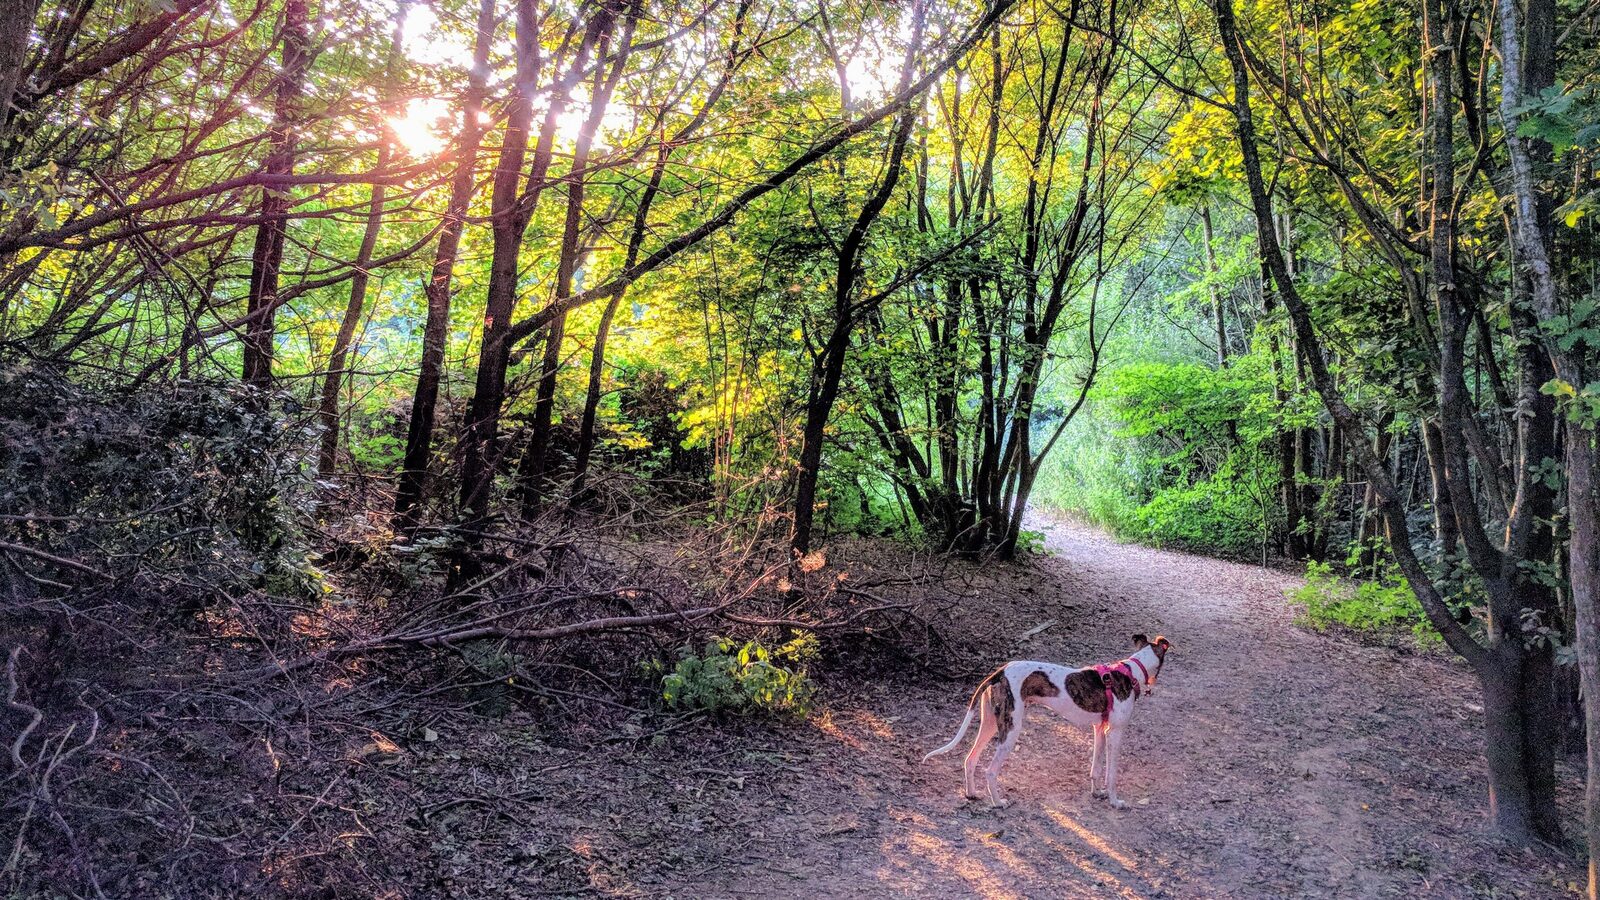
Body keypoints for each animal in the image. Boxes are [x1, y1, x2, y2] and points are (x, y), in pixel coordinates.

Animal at [921, 630, 1171, 807]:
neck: (1131, 671)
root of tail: (999, 672)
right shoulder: (1115, 734)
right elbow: (1111, 774)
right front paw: (1114, 801)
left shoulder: (1100, 730)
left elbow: (1096, 769)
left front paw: (1096, 793)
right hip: (1010, 730)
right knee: (990, 770)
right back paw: (998, 802)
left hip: (991, 724)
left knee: (970, 760)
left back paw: (972, 794)